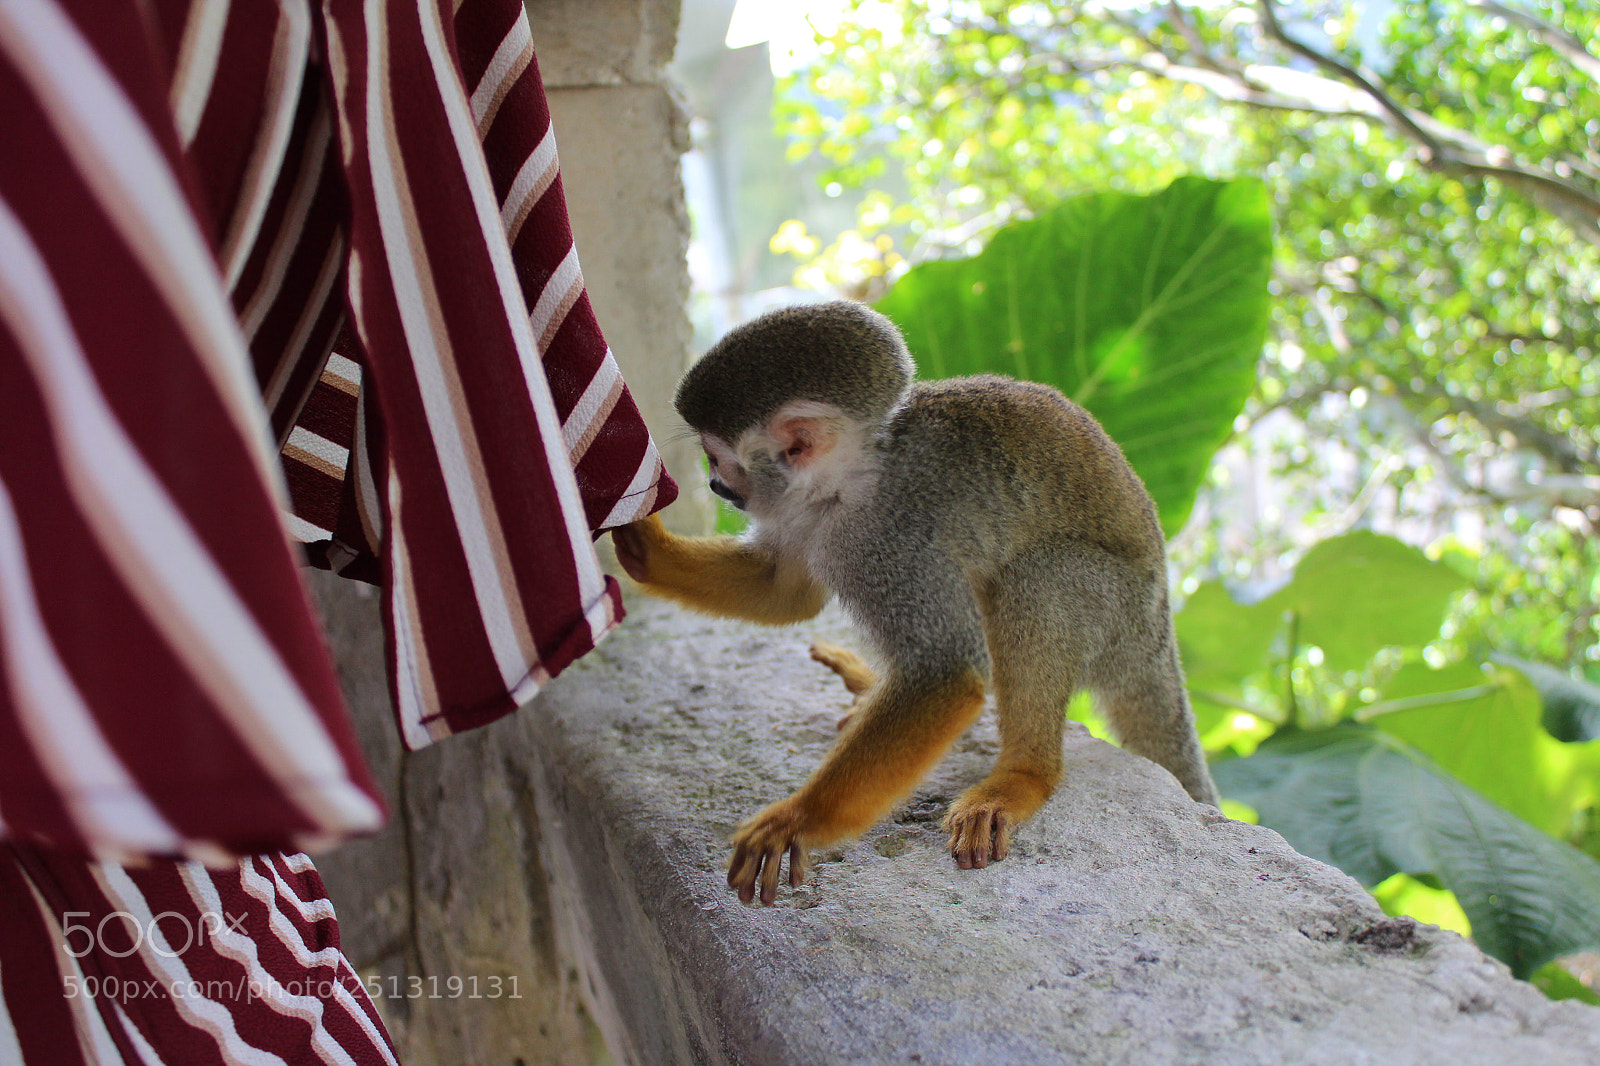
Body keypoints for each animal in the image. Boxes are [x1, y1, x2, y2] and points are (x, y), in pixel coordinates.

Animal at [611, 300, 1219, 906]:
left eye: (718, 458)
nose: (717, 486)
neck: (855, 479)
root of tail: (1161, 630)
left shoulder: (891, 538)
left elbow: (945, 672)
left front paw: (798, 819)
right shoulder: (809, 515)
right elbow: (782, 591)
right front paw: (645, 548)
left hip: (1119, 615)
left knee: (1038, 579)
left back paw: (1025, 777)